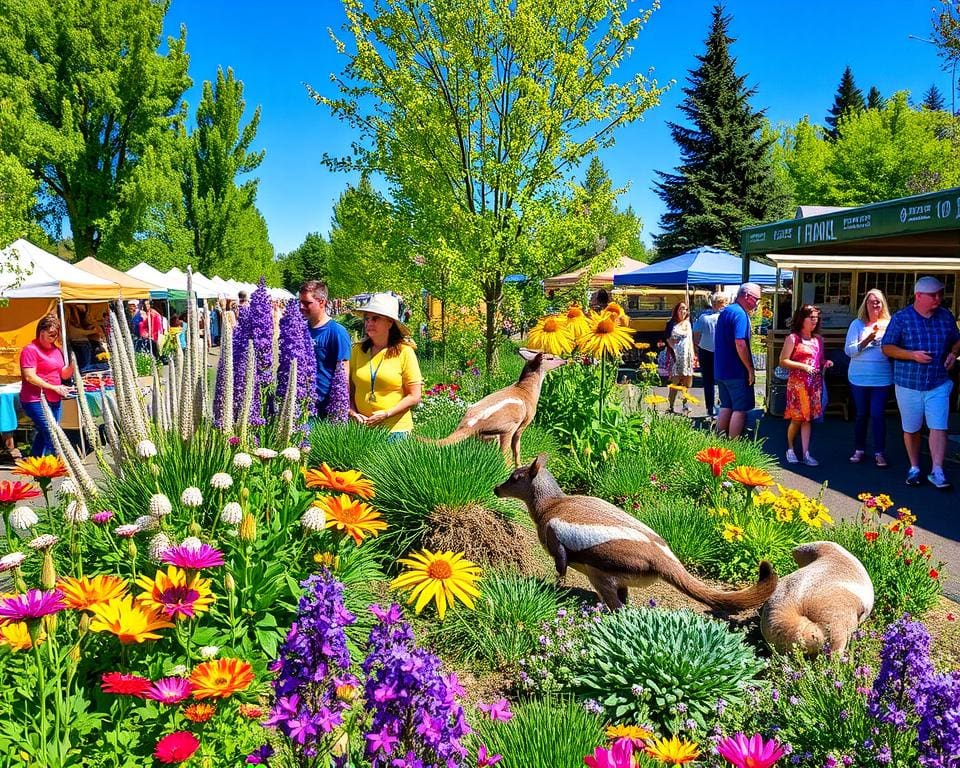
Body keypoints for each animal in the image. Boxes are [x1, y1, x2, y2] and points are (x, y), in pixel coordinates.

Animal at [422, 350, 568, 468]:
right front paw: (519, 466)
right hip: (507, 428)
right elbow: (517, 449)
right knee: (505, 455)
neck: (526, 390)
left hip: (487, 435)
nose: (565, 360)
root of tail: (467, 424)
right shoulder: (521, 426)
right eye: (551, 358)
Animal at [496, 456, 780, 612]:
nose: (497, 488)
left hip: (603, 575)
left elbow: (561, 571)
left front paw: (555, 592)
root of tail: (663, 556)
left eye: (515, 477)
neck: (553, 504)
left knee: (618, 608)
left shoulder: (558, 547)